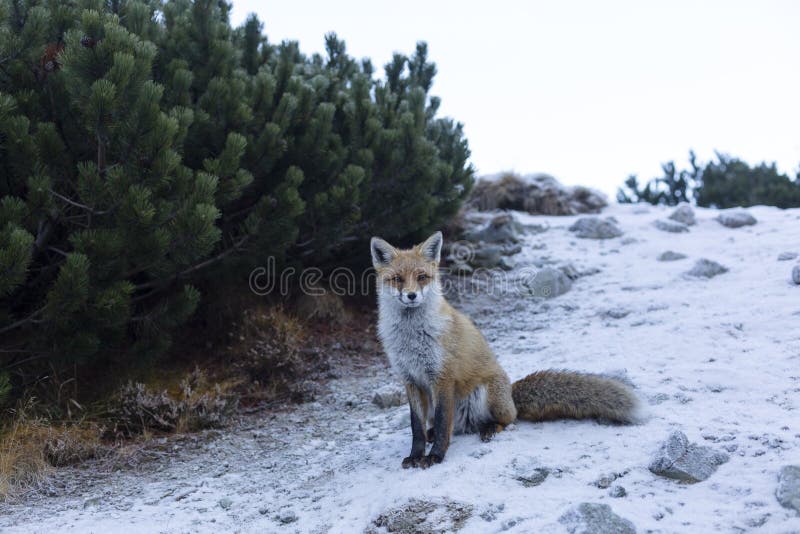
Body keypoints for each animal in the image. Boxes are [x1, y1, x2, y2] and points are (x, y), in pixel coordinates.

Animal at [368, 230, 636, 468]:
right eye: (398, 279)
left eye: (422, 276)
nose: (411, 296)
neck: (411, 338)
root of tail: (511, 393)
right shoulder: (410, 380)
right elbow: (417, 428)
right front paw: (415, 455)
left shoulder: (442, 377)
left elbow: (445, 423)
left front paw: (435, 457)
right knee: (451, 426)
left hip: (486, 395)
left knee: (507, 419)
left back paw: (490, 428)